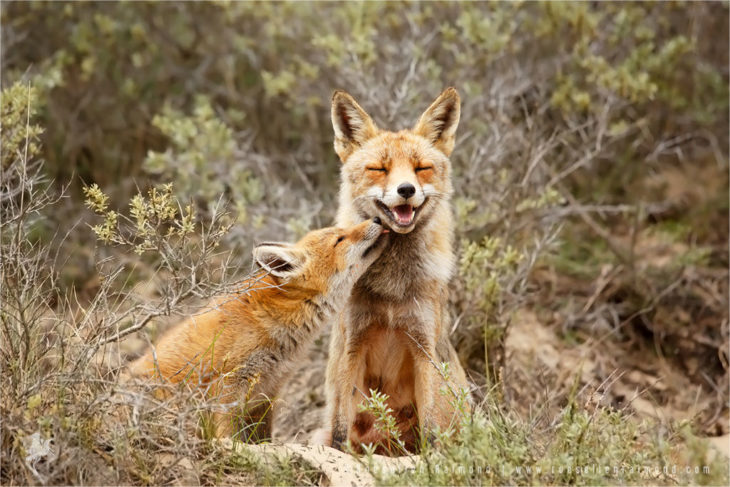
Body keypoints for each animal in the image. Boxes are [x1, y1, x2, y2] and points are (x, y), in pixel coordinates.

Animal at [126, 217, 386, 442]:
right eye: (340, 239)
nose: (377, 219)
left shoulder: (267, 393)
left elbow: (263, 439)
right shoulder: (229, 385)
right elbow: (227, 435)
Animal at [320, 86, 470, 454]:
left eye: (421, 168)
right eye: (379, 169)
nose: (406, 190)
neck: (392, 287)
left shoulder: (423, 347)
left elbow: (431, 429)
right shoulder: (352, 344)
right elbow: (341, 430)